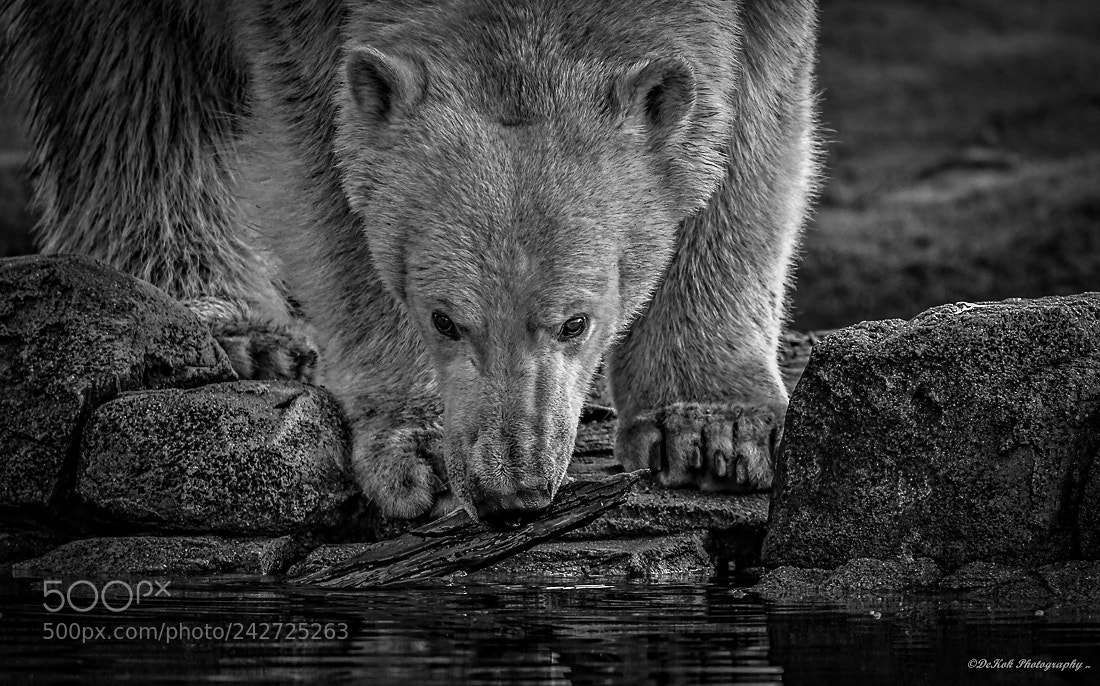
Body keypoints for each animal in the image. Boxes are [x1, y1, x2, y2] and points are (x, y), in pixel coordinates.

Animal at [0, 0, 820, 528]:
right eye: (444, 320)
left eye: (575, 323)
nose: (512, 492)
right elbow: (327, 139)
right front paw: (417, 447)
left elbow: (753, 106)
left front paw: (711, 432)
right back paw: (231, 324)